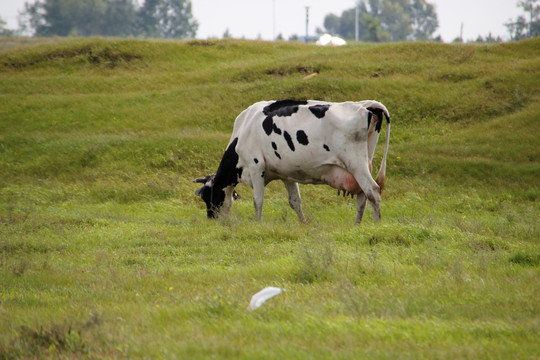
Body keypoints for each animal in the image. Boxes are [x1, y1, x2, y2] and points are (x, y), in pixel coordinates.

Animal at [196, 98, 390, 222]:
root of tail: (364, 105)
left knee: (372, 191)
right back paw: (357, 225)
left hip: (355, 163)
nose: (211, 219)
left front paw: (257, 223)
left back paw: (376, 224)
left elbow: (258, 200)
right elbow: (295, 201)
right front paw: (303, 223)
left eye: (208, 196)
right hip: (364, 162)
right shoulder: (286, 174)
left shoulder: (256, 165)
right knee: (362, 196)